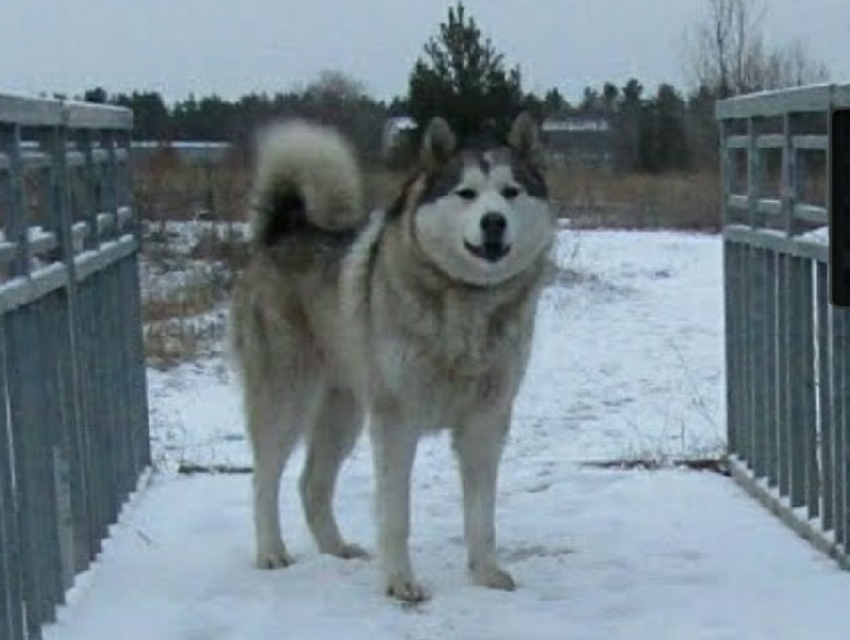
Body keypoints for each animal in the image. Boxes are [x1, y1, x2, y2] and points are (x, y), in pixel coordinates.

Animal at [229, 112, 556, 604]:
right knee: (263, 479)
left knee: (312, 482)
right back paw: (271, 551)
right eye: (467, 193)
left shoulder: (486, 422)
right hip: (286, 400)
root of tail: (285, 230)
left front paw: (486, 574)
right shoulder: (397, 421)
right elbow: (395, 514)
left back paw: (336, 549)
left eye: (511, 191)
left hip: (343, 412)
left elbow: (482, 516)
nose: (494, 222)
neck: (467, 302)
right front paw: (400, 581)